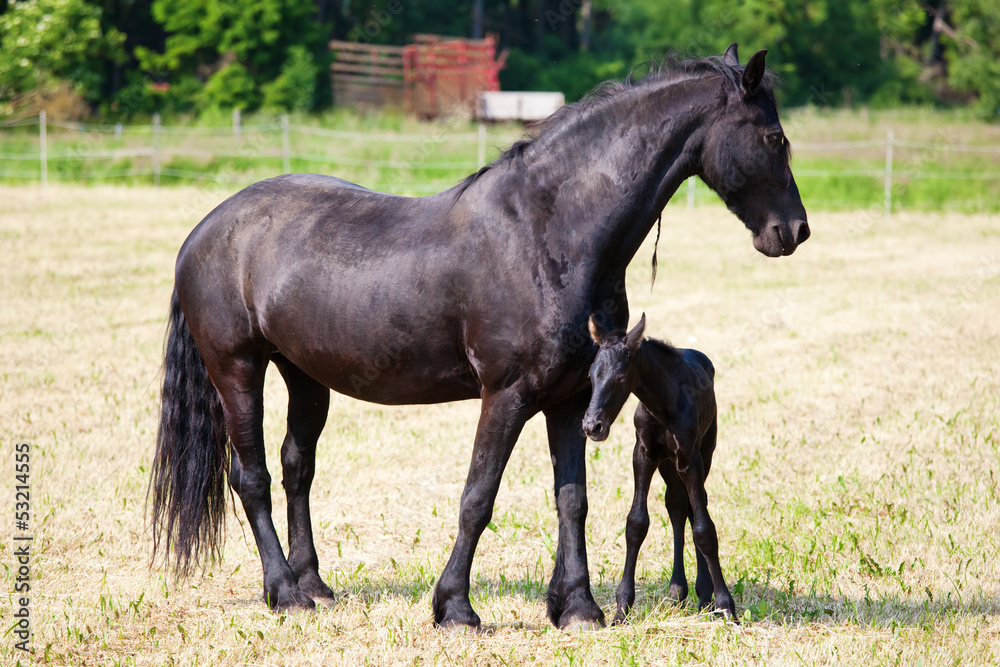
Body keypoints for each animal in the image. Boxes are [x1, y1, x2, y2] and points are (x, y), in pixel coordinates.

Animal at [584, 314, 740, 628]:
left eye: (620, 378)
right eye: (591, 376)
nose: (592, 426)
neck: (664, 404)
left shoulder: (691, 458)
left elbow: (704, 528)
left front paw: (725, 606)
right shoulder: (643, 454)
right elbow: (636, 523)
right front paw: (622, 608)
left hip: (704, 452)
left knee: (694, 506)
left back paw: (703, 594)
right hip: (668, 463)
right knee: (677, 506)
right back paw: (677, 590)